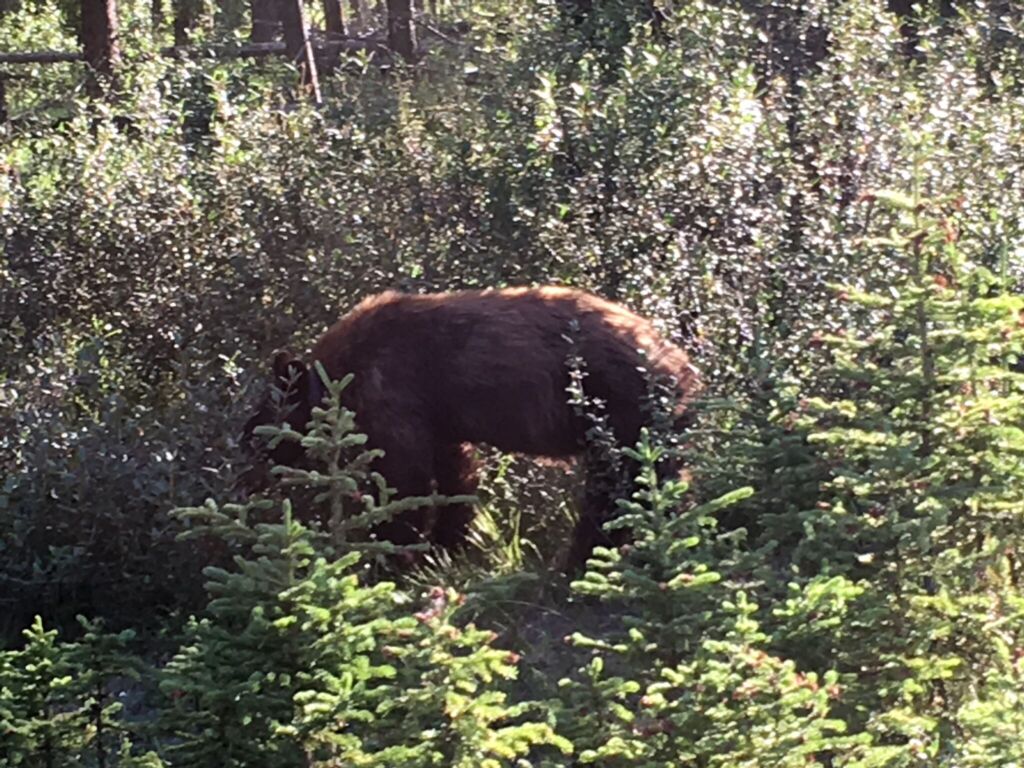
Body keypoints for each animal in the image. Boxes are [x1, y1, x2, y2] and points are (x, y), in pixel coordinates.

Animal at [243, 285, 700, 570]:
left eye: (263, 418)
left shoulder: (391, 393)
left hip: (618, 413)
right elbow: (455, 478)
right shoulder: (441, 422)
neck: (338, 376)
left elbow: (403, 481)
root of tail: (683, 366)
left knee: (617, 490)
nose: (249, 447)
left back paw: (580, 562)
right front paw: (444, 548)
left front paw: (391, 556)